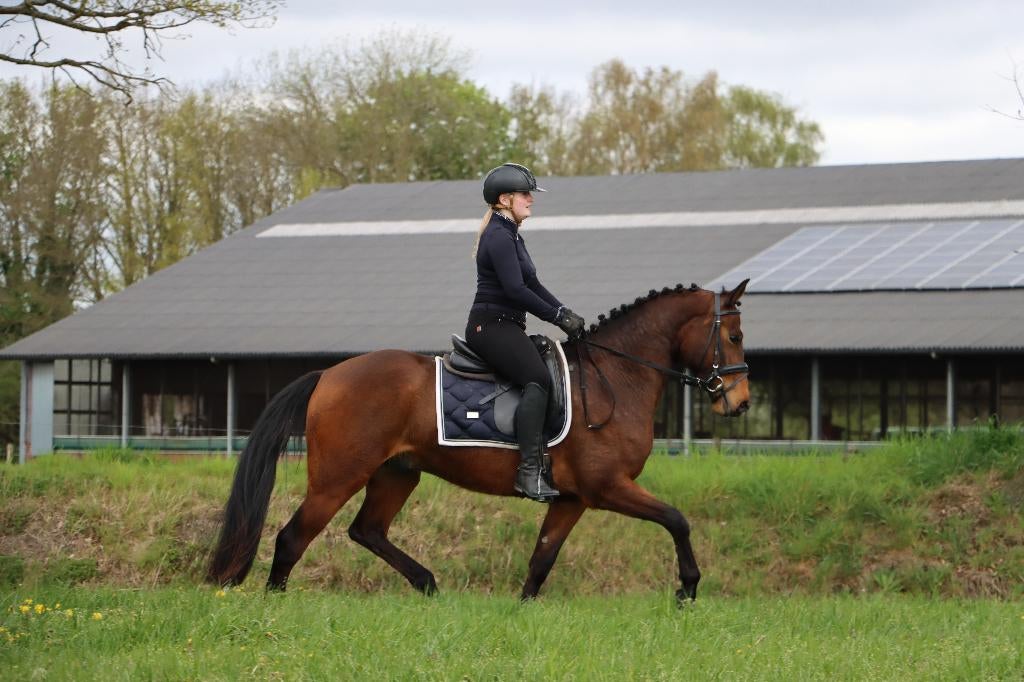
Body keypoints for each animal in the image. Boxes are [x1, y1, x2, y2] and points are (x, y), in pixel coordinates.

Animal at [208, 279, 750, 603]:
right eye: (736, 337)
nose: (741, 403)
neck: (615, 377)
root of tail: (329, 375)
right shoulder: (608, 488)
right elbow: (677, 520)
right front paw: (688, 589)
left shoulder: (572, 499)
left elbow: (542, 559)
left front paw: (523, 609)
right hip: (338, 478)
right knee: (293, 537)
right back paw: (275, 603)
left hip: (396, 474)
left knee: (367, 530)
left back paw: (427, 585)